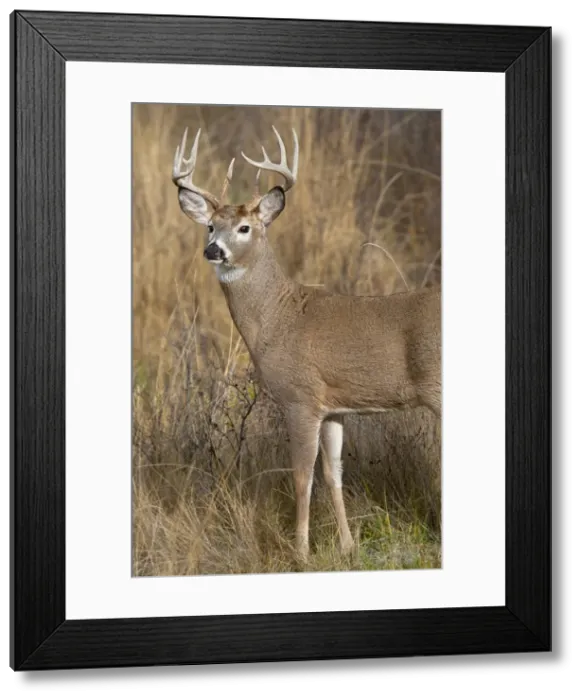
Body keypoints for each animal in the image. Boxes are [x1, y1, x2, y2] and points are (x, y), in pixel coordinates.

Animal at [172, 124, 441, 562]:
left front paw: (300, 552)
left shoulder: (299, 397)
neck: (280, 318)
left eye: (245, 228)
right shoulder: (334, 405)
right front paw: (348, 547)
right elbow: (333, 474)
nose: (213, 250)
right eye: (210, 225)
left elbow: (301, 477)